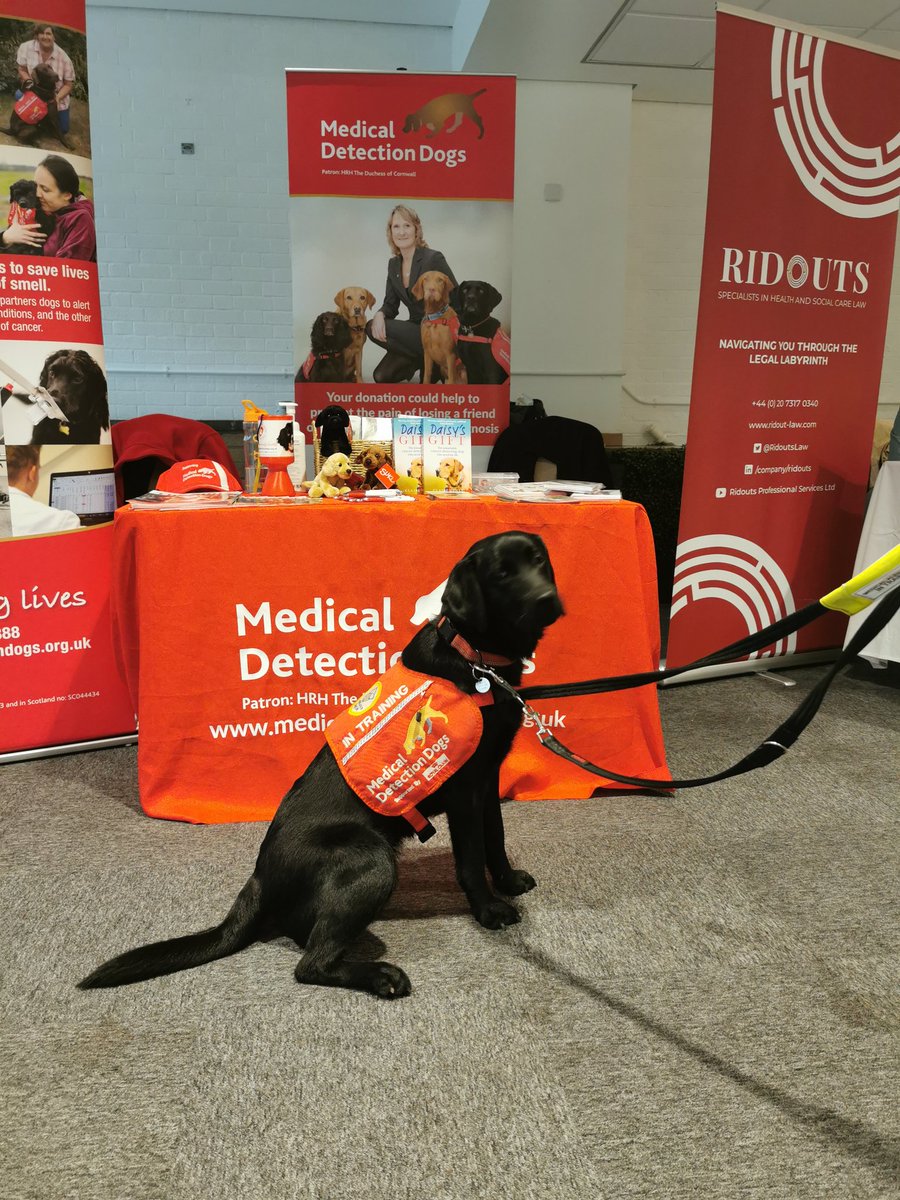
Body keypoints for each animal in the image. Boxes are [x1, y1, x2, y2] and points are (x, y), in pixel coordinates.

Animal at [82, 537, 564, 1003]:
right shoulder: (466, 790)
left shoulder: (488, 778)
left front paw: (508, 881)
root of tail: (259, 879)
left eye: (539, 560)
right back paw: (381, 976)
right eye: (502, 574)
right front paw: (489, 909)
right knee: (310, 964)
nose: (547, 598)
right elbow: (470, 857)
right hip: (371, 858)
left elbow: (495, 837)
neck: (478, 660)